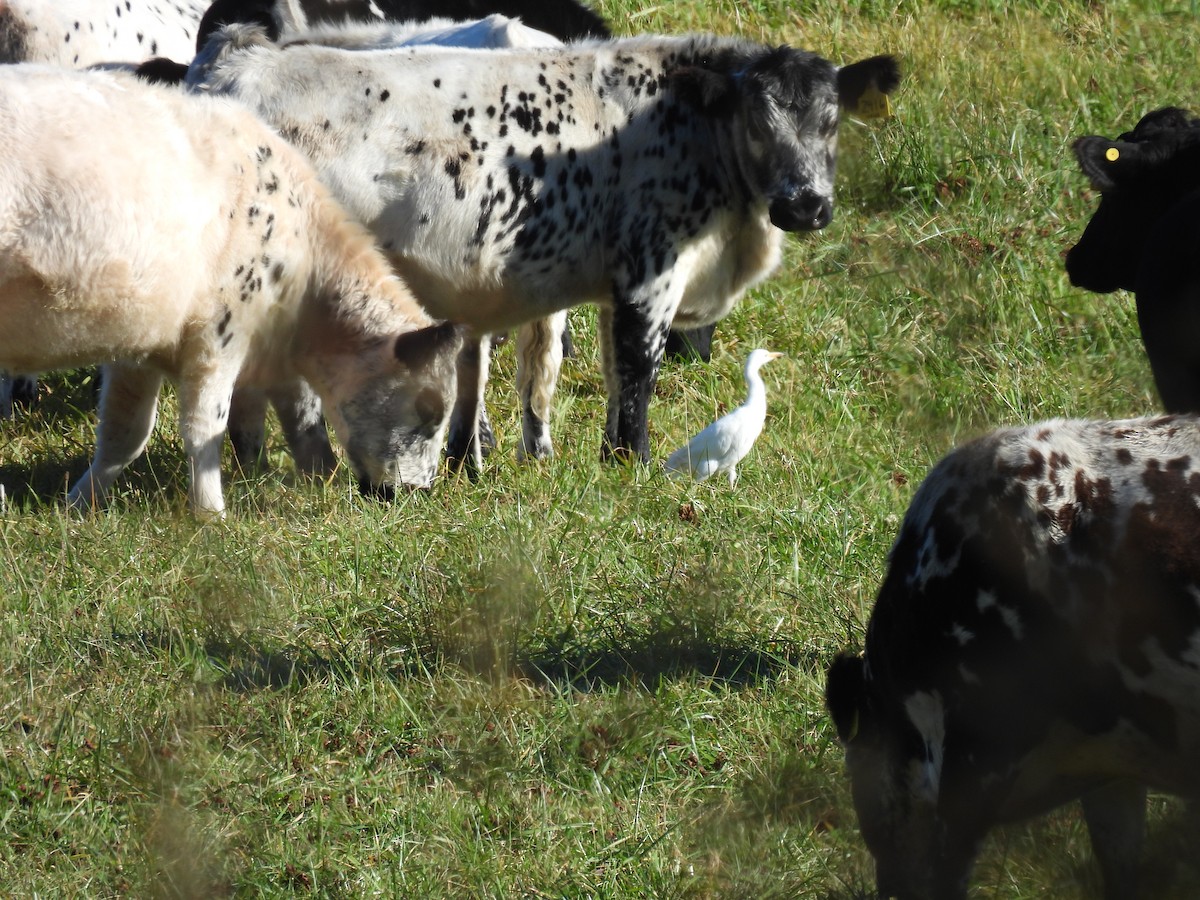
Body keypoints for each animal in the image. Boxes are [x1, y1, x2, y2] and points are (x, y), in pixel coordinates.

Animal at [0, 65, 461, 515]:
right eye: (430, 412)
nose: (417, 493)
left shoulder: (141, 344)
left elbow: (124, 434)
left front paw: (79, 506)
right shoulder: (220, 333)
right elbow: (205, 428)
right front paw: (211, 514)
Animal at [187, 25, 900, 470]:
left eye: (831, 120)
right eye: (758, 120)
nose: (805, 204)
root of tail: (241, 62)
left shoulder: (616, 282)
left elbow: (601, 373)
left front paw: (603, 459)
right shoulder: (651, 271)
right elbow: (637, 371)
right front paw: (634, 464)